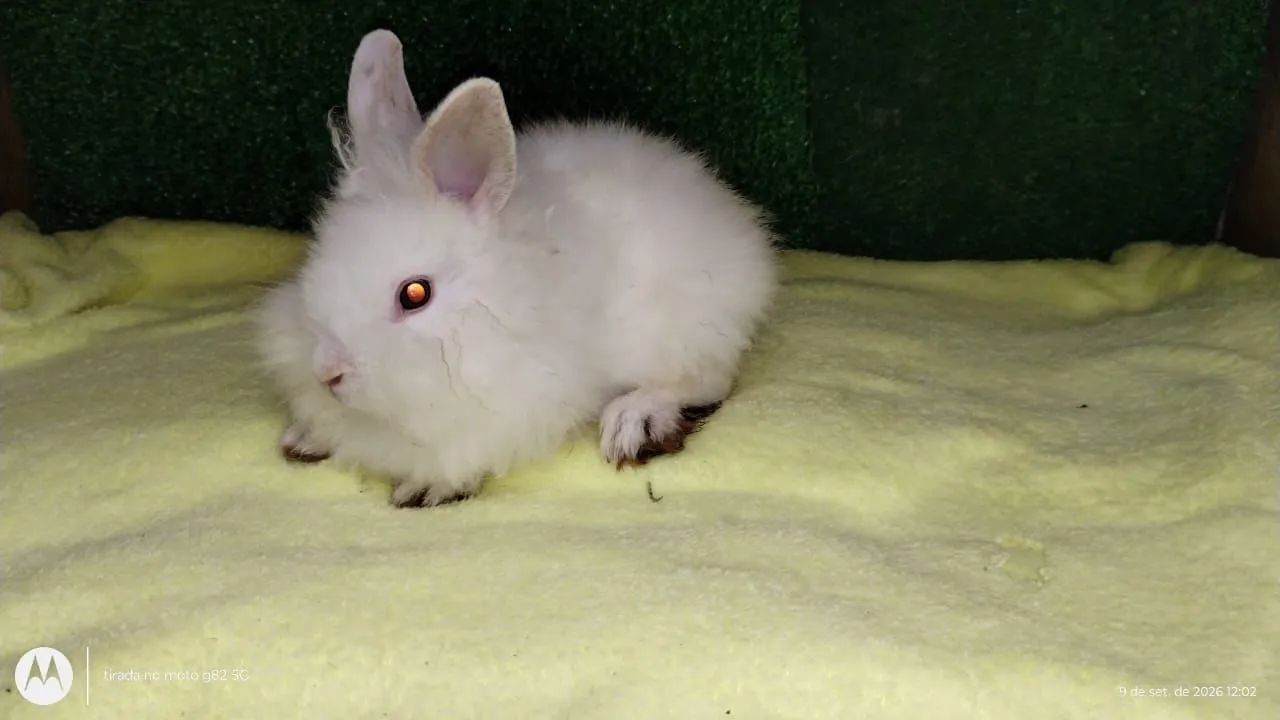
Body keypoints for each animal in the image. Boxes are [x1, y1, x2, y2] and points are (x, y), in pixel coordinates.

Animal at [255, 29, 777, 508]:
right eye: (315, 265)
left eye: (415, 294)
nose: (328, 373)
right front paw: (307, 434)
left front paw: (428, 488)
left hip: (686, 329)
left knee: (708, 379)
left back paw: (634, 421)